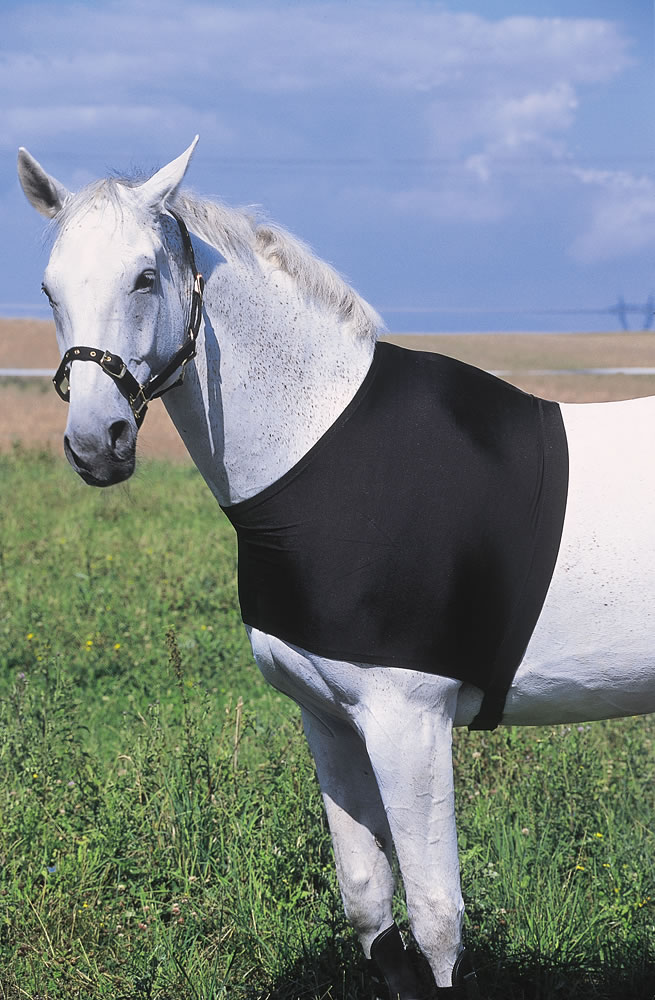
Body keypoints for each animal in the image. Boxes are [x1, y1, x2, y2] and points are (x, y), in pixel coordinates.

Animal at [17, 138, 655, 999]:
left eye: (145, 277)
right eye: (49, 289)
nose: (97, 442)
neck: (319, 447)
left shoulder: (407, 720)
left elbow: (436, 918)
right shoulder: (328, 719)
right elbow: (368, 906)